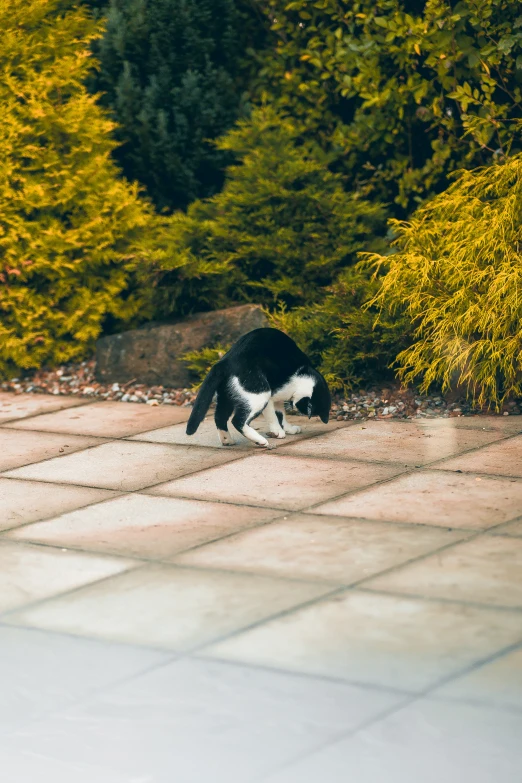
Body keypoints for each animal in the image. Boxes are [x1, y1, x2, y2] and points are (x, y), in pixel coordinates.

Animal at [185, 326, 330, 448]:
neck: (302, 376)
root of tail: (226, 361)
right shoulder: (272, 395)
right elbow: (273, 415)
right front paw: (278, 432)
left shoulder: (278, 398)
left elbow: (281, 414)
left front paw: (288, 428)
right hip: (259, 392)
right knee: (238, 421)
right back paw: (260, 440)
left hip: (226, 396)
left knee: (220, 416)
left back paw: (228, 440)